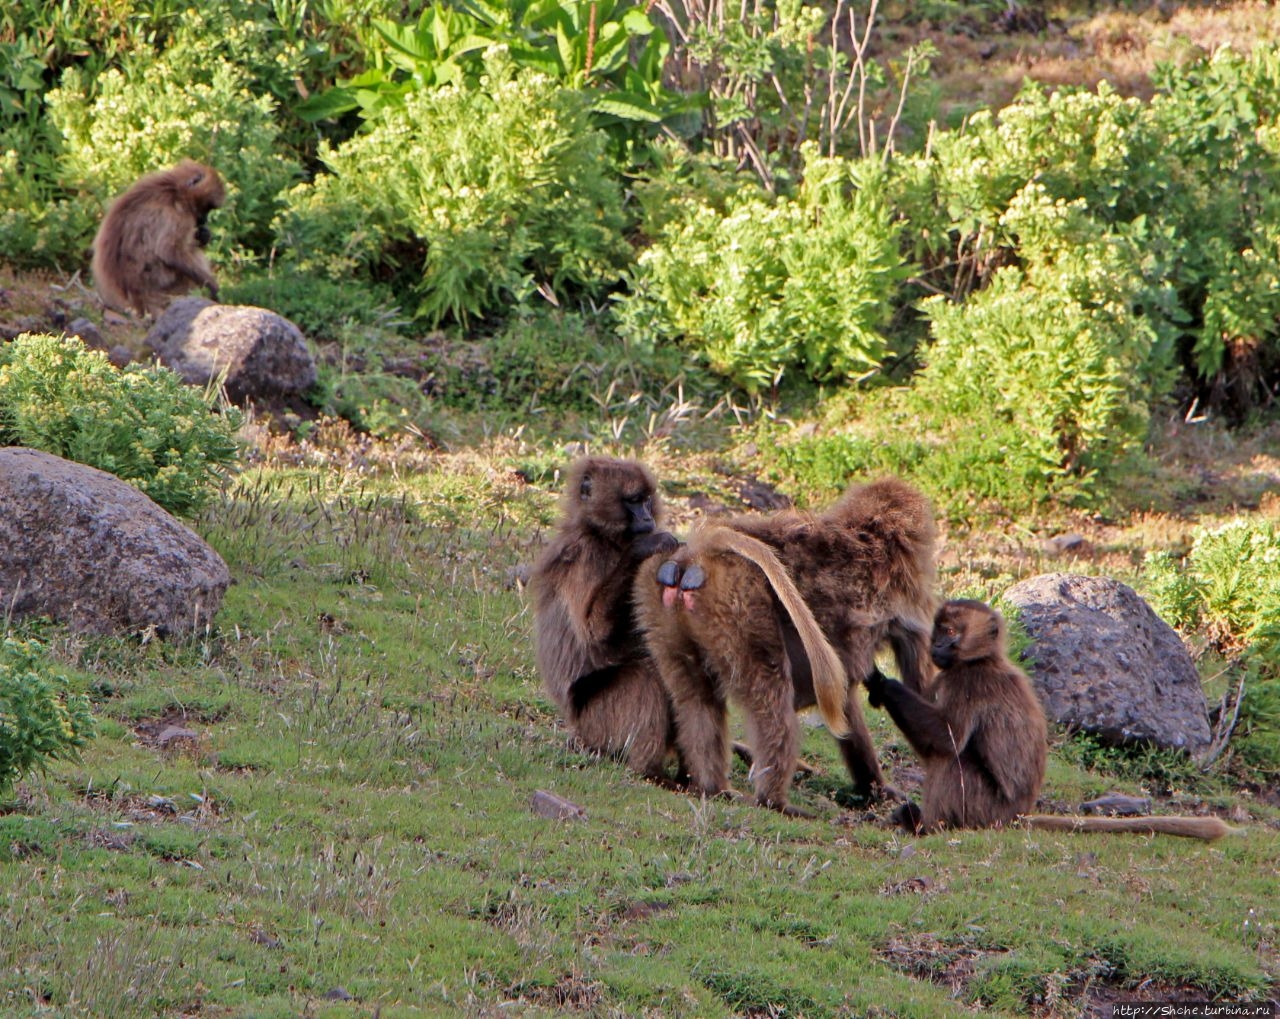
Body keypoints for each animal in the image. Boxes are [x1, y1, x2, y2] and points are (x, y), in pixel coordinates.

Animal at [92, 159, 225, 316]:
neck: (175, 189)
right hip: (161, 282)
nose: (204, 220)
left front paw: (204, 235)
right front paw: (214, 288)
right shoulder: (176, 214)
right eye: (207, 208)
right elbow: (168, 252)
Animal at [529, 458, 686, 778]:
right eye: (633, 501)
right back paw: (649, 773)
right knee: (645, 676)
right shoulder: (585, 554)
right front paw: (645, 547)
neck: (606, 537)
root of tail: (575, 728)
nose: (647, 518)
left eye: (646, 500)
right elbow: (594, 630)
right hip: (596, 721)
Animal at [634, 478, 936, 814]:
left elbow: (847, 698)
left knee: (696, 698)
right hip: (741, 601)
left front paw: (874, 787)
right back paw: (773, 800)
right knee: (772, 697)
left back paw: (711, 787)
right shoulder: (912, 598)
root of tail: (699, 551)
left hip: (662, 603)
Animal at [865, 601, 1233, 839]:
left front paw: (882, 683)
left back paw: (927, 826)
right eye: (938, 631)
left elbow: (946, 738)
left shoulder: (970, 683)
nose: (937, 646)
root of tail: (1018, 815)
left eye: (952, 631)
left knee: (953, 760)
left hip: (986, 810)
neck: (981, 660)